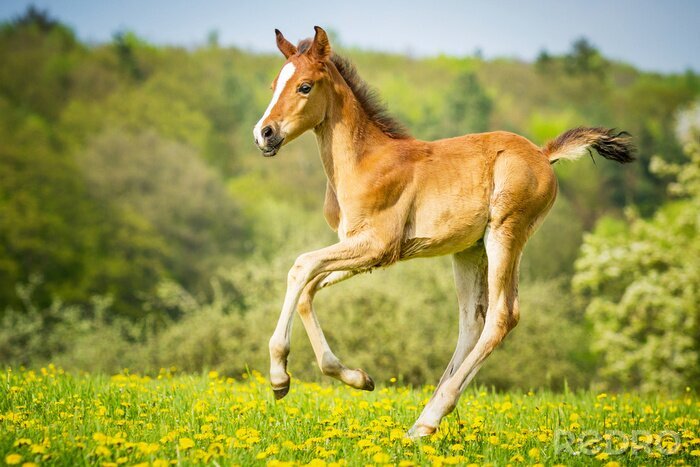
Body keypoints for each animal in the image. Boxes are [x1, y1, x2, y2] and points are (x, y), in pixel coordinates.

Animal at [253, 26, 636, 438]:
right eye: (274, 84)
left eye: (305, 86)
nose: (264, 134)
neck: (363, 161)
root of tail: (543, 153)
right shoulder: (364, 250)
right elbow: (308, 290)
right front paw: (357, 377)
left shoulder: (378, 244)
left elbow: (300, 267)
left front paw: (279, 378)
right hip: (468, 251)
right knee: (471, 322)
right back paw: (423, 420)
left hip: (506, 235)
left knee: (502, 316)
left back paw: (429, 419)